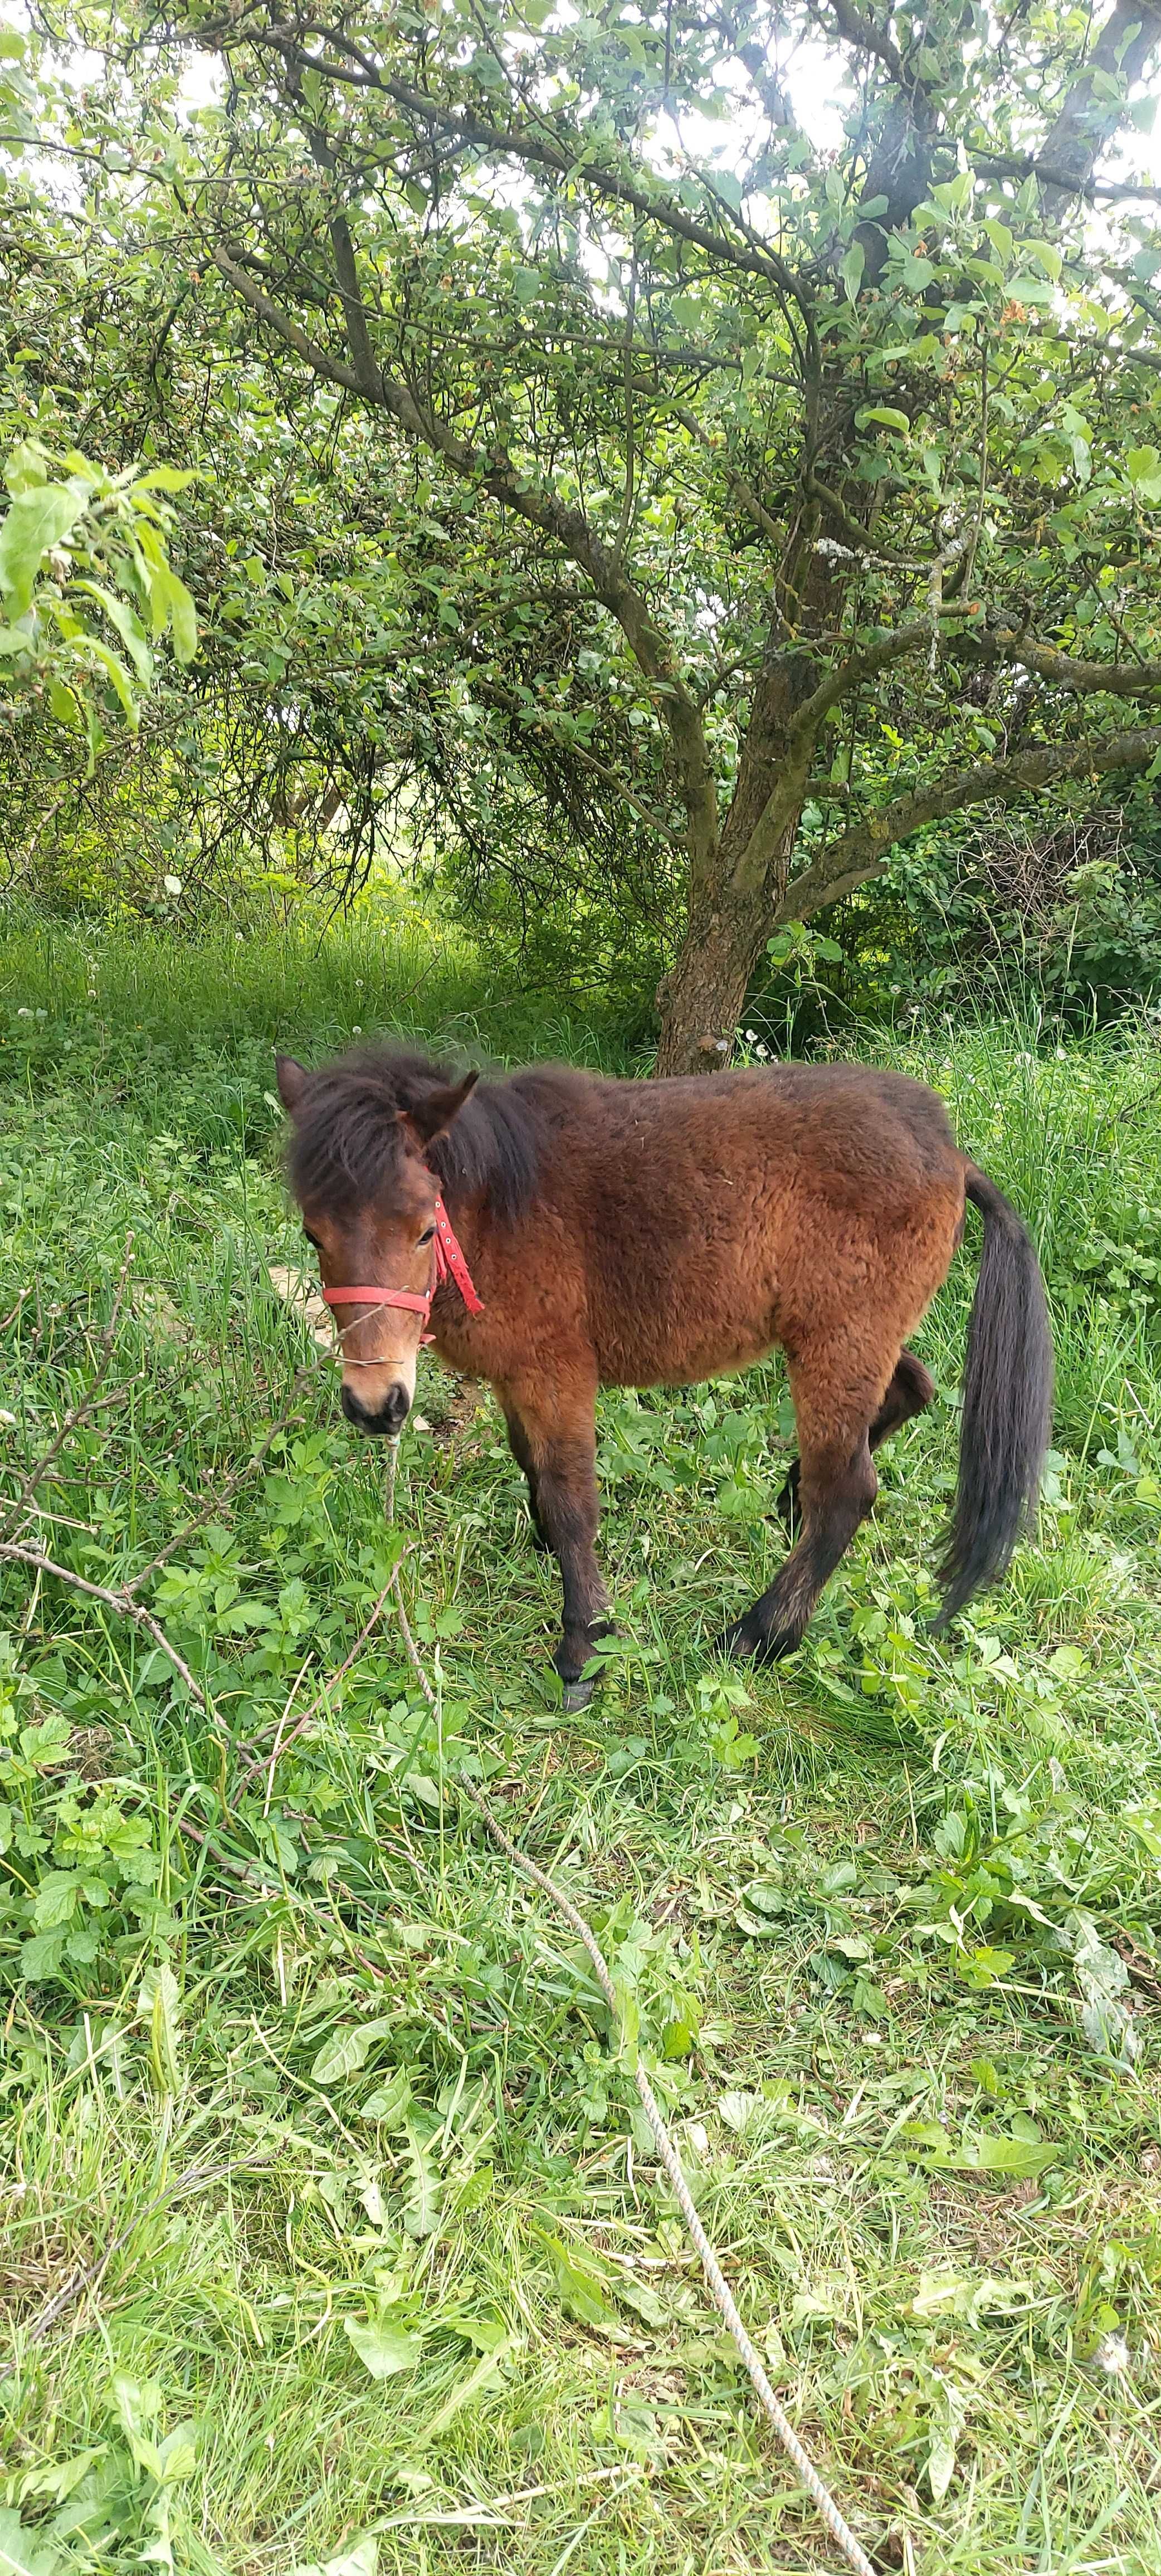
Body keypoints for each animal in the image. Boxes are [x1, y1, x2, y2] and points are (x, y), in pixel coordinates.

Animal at [279, 1046, 1055, 1710]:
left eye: (420, 1227)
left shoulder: (556, 1372)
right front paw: (545, 1550)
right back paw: (789, 1499)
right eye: (313, 1233)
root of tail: (950, 1152)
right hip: (851, 1340)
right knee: (909, 1391)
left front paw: (583, 1648)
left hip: (837, 1345)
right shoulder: (514, 1377)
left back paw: (761, 1632)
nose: (375, 1406)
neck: (500, 1206)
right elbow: (531, 1465)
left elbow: (570, 1498)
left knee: (849, 1490)